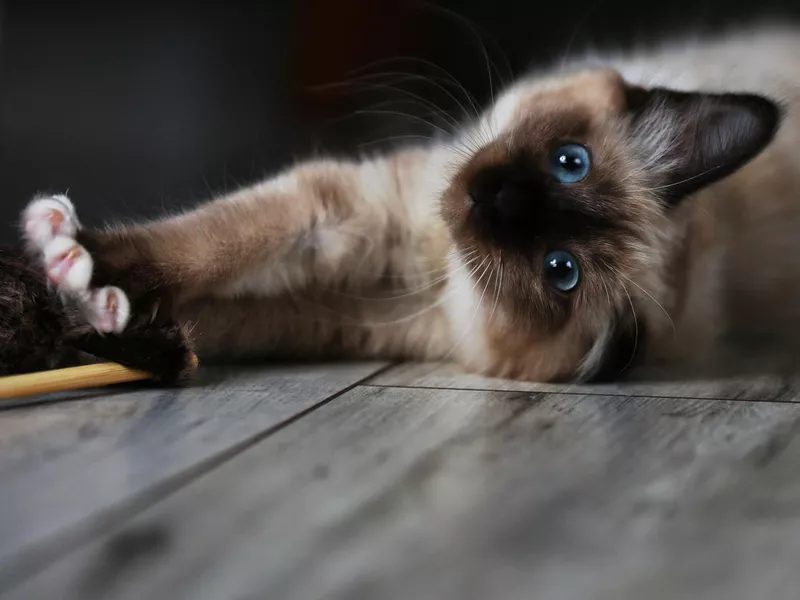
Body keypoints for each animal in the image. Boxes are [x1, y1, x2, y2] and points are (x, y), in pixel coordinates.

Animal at [15, 24, 800, 380]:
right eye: (570, 163)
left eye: (560, 270)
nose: (495, 200)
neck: (428, 263)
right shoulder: (343, 212)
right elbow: (200, 248)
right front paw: (67, 290)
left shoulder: (330, 308)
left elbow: (208, 305)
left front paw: (91, 305)